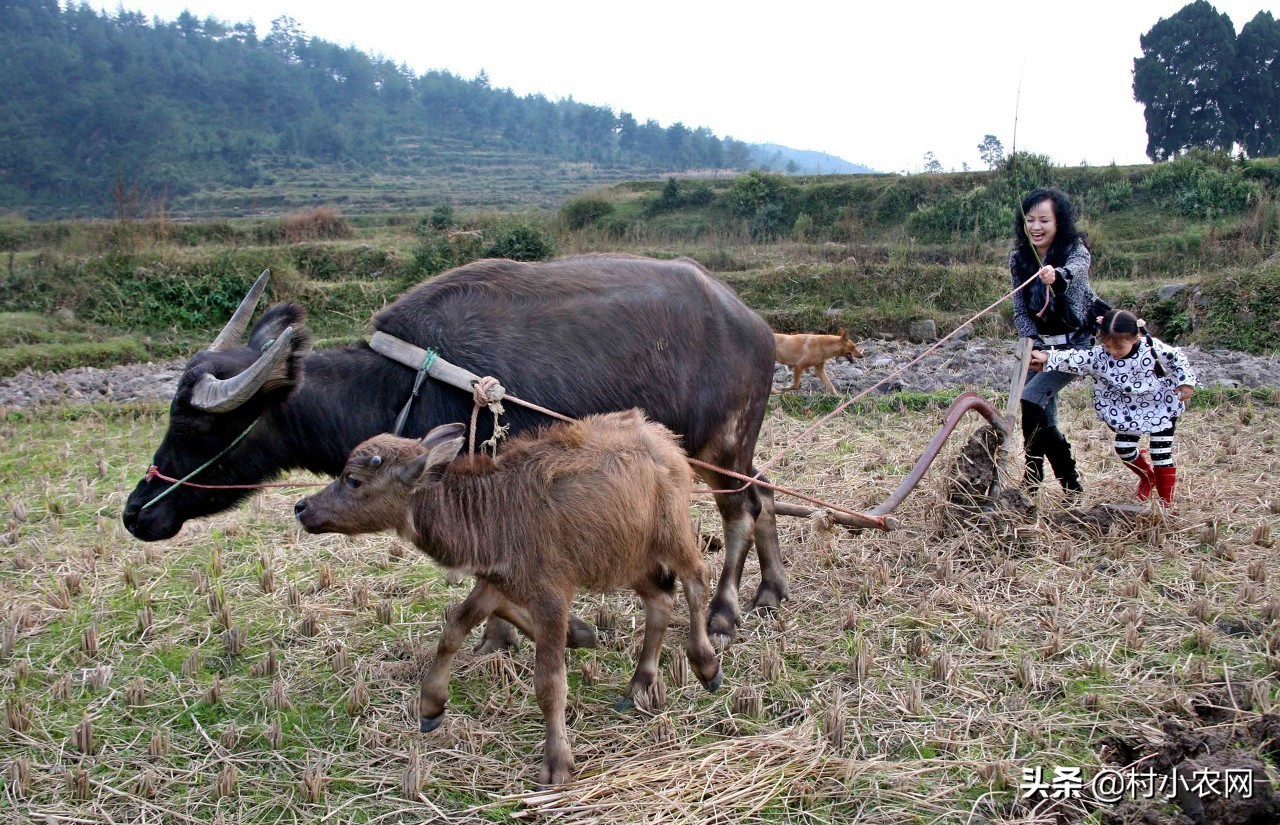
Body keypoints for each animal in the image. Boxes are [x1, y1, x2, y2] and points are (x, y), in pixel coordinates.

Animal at [122, 254, 778, 639]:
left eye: (197, 426)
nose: (134, 514)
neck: (400, 384)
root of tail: (754, 325)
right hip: (720, 451)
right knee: (766, 492)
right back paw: (772, 591)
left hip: (721, 446)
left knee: (739, 510)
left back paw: (724, 612)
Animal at [293, 409, 727, 782]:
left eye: (353, 479)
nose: (301, 506)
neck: (492, 514)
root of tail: (666, 442)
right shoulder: (496, 583)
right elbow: (454, 628)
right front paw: (431, 706)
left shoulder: (551, 597)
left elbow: (549, 683)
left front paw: (557, 763)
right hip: (626, 558)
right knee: (661, 600)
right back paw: (639, 684)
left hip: (672, 536)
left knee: (697, 580)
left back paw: (706, 665)